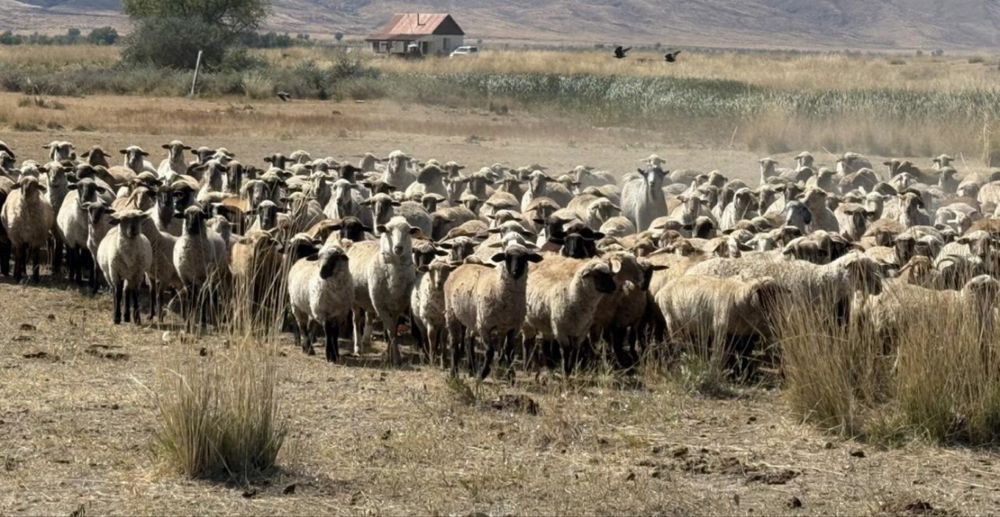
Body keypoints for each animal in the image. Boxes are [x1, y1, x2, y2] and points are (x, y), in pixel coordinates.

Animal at [346, 216, 420, 365]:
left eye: (408, 231)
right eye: (388, 230)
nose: (398, 248)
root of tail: (355, 243)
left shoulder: (397, 306)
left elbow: (393, 330)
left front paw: (389, 353)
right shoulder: (381, 306)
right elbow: (390, 330)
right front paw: (395, 358)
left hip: (369, 299)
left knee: (368, 316)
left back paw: (366, 340)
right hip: (356, 301)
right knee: (356, 321)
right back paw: (358, 347)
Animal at [445, 243, 544, 378]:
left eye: (525, 258)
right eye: (507, 257)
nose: (515, 271)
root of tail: (463, 265)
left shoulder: (513, 327)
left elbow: (509, 351)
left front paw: (510, 375)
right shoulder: (485, 325)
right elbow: (490, 351)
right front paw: (483, 374)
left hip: (472, 317)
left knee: (468, 340)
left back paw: (471, 369)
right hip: (452, 313)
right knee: (454, 342)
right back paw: (454, 373)